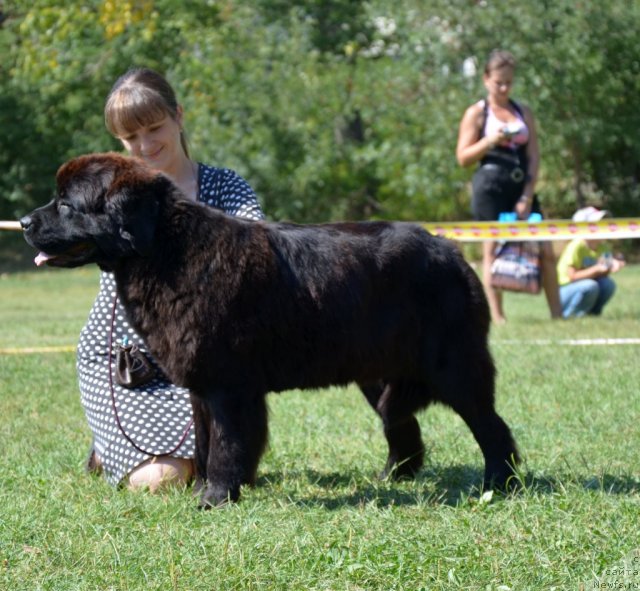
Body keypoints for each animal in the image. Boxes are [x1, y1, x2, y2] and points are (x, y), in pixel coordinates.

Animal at [21, 154, 520, 508]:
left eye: (66, 204)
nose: (24, 221)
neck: (166, 251)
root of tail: (450, 251)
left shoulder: (226, 386)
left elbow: (225, 444)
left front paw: (214, 499)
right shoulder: (203, 388)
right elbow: (205, 442)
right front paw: (206, 490)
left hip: (453, 366)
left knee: (491, 427)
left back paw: (499, 484)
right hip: (377, 369)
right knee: (400, 422)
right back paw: (394, 477)